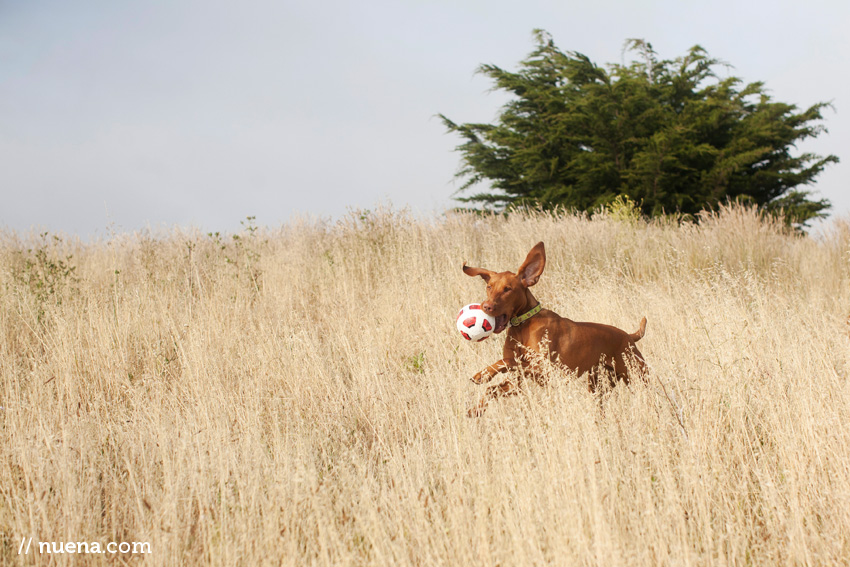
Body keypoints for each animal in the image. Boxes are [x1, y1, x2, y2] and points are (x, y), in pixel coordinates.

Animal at [460, 241, 644, 418]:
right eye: (489, 286)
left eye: (508, 289)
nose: (486, 306)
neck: (523, 326)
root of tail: (629, 336)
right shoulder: (516, 382)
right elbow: (492, 387)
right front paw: (476, 409)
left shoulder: (546, 371)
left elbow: (506, 361)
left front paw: (482, 374)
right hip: (598, 386)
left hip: (637, 376)